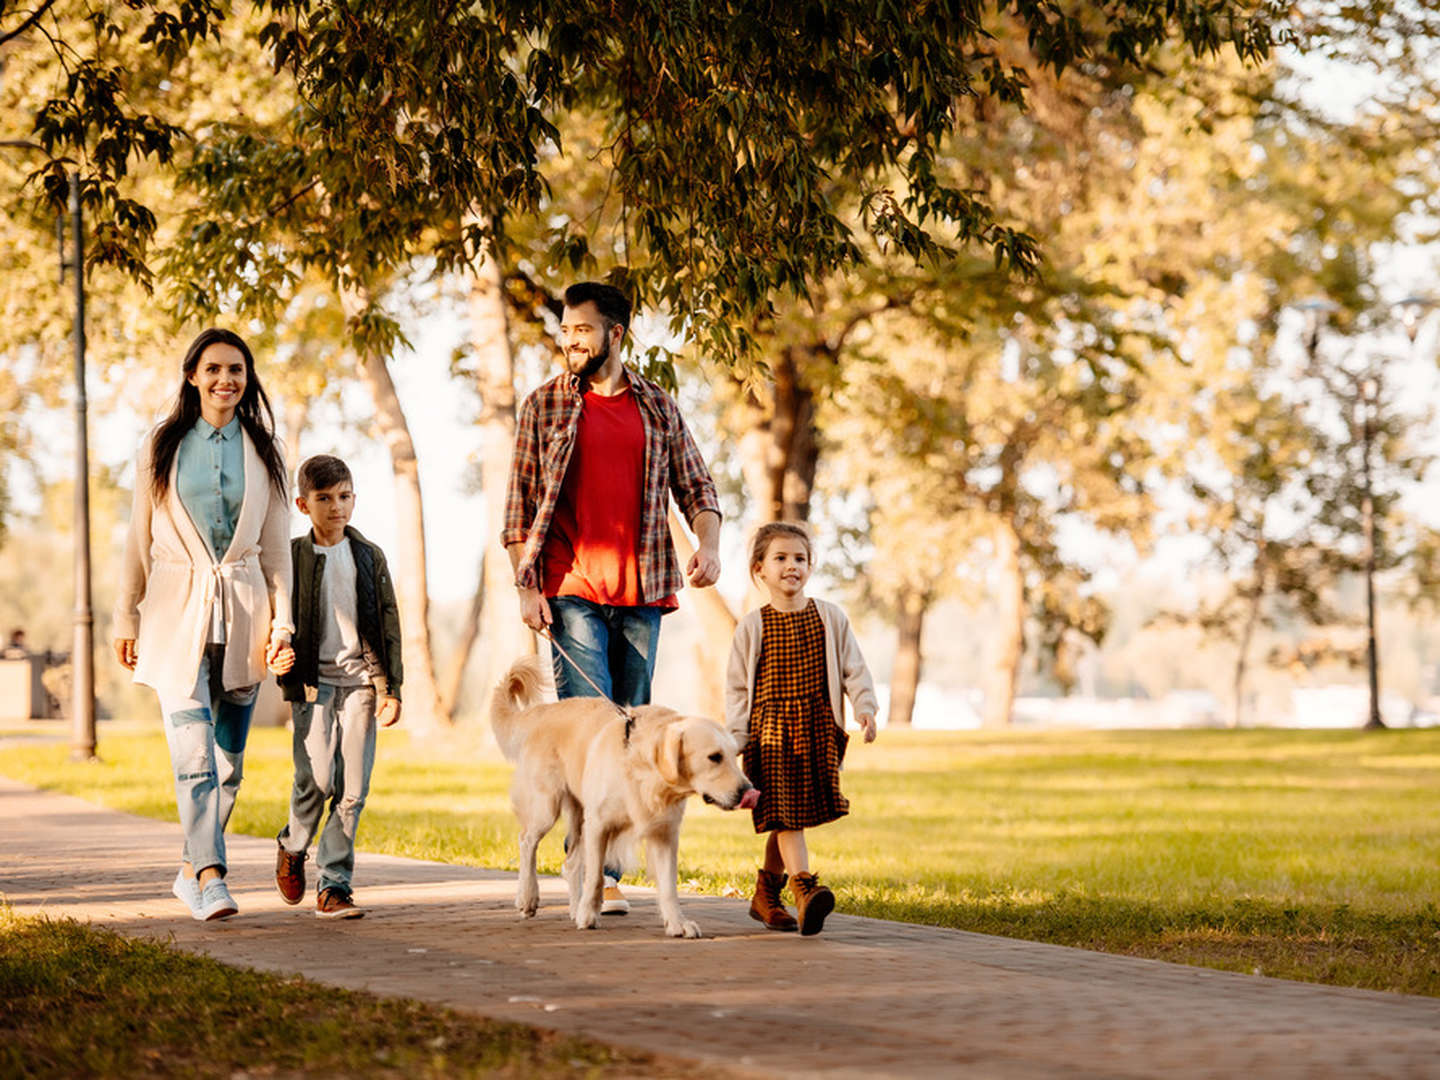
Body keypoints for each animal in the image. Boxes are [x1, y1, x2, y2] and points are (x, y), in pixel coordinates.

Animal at [486, 656, 754, 944]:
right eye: (714, 757)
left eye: (734, 755)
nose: (747, 791)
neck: (643, 772)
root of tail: (545, 711)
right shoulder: (599, 825)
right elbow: (594, 877)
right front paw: (589, 916)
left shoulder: (664, 832)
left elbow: (669, 886)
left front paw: (678, 923)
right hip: (547, 806)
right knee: (527, 841)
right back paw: (528, 897)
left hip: (579, 815)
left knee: (571, 862)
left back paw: (574, 907)